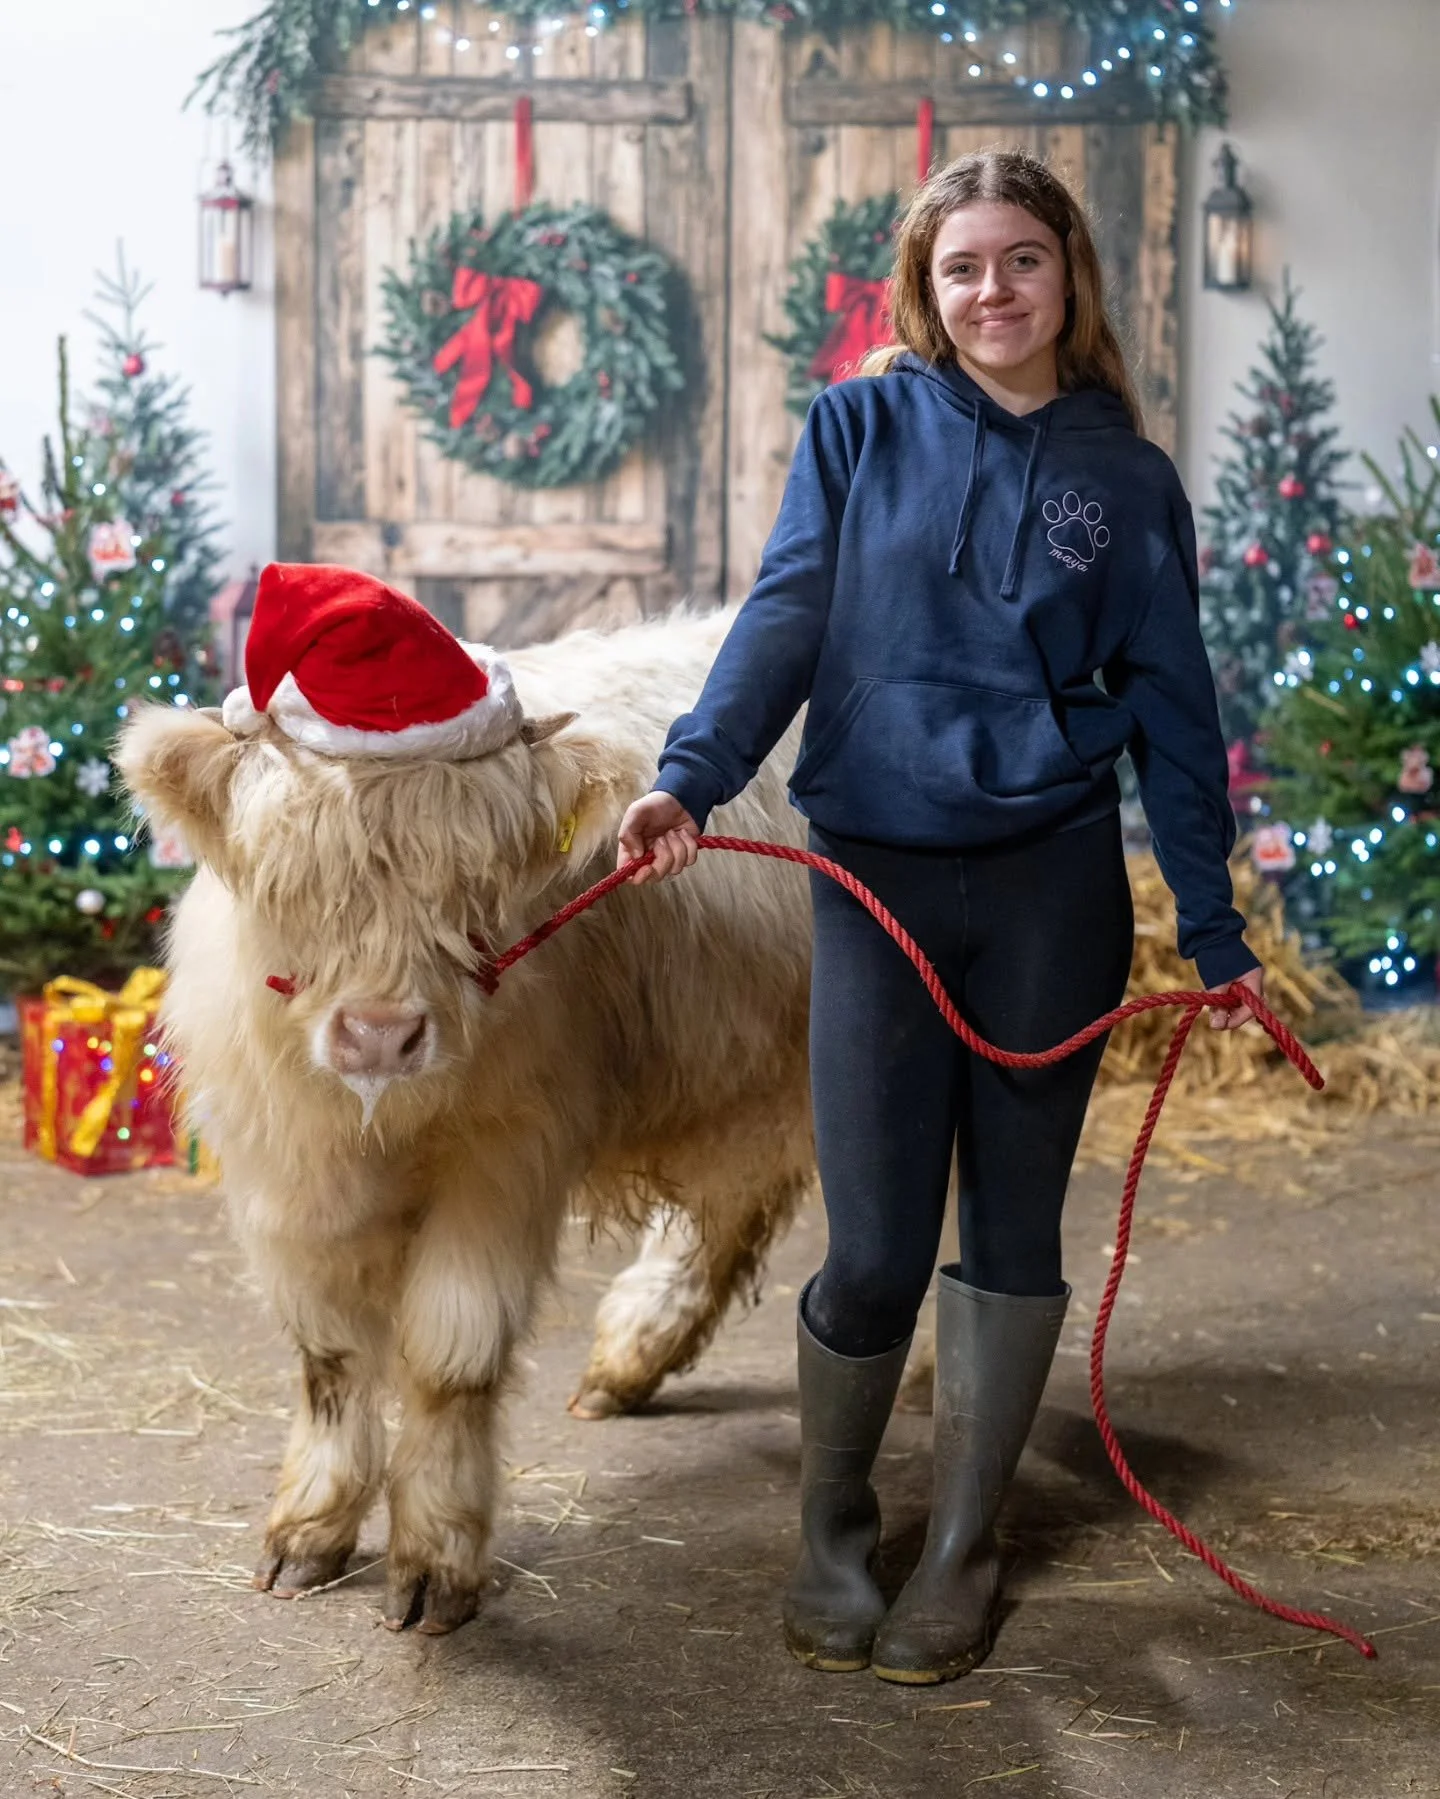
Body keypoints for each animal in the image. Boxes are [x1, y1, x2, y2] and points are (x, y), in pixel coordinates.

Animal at [116, 603, 819, 1635]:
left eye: (471, 878)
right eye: (293, 873)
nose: (379, 1033)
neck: (377, 1126)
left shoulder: (505, 1156)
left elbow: (451, 1356)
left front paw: (434, 1560)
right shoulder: (284, 1168)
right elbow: (329, 1356)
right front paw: (309, 1528)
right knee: (736, 1210)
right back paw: (629, 1359)